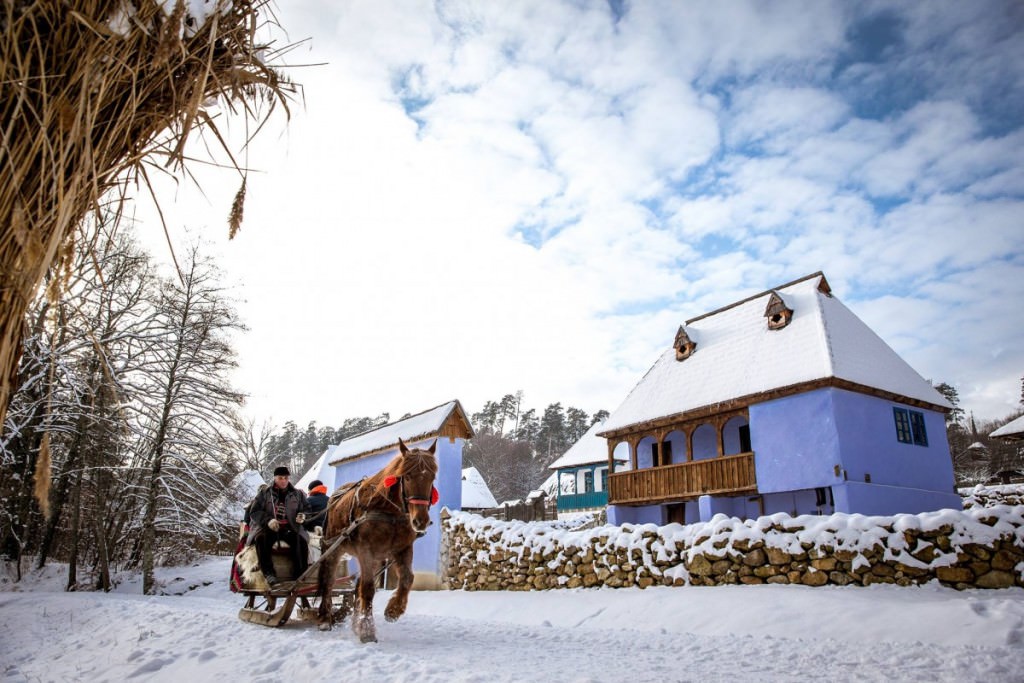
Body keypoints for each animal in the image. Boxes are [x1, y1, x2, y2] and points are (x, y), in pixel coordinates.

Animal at [315, 438, 436, 643]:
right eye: (407, 476)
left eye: (432, 478)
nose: (420, 521)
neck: (389, 510)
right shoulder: (366, 550)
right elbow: (368, 588)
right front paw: (367, 630)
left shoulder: (403, 548)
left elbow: (407, 579)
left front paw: (393, 610)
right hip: (334, 549)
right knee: (329, 581)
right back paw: (324, 618)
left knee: (356, 586)